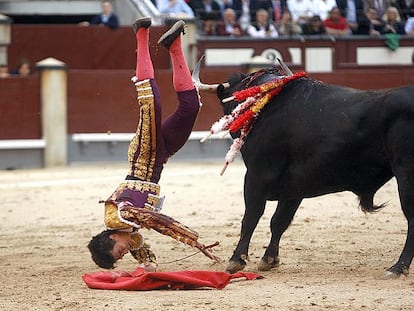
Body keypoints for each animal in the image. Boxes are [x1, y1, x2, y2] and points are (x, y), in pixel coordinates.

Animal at [194, 57, 414, 280]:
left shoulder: (257, 176)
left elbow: (251, 217)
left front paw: (236, 260)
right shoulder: (295, 186)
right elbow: (279, 221)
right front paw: (269, 259)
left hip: (405, 174)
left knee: (411, 218)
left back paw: (397, 268)